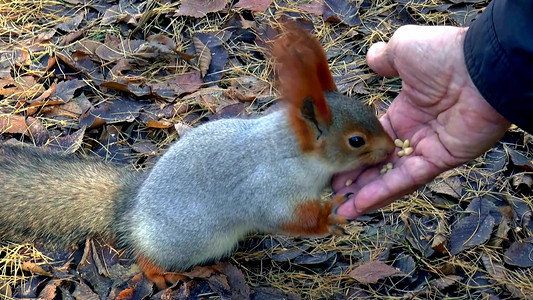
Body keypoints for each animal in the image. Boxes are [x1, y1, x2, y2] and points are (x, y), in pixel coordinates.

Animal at [0, 22, 390, 290]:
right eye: (356, 141)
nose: (390, 149)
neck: (291, 152)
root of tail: (131, 210)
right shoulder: (268, 188)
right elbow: (282, 217)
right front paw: (328, 217)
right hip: (187, 240)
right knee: (146, 256)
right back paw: (162, 272)